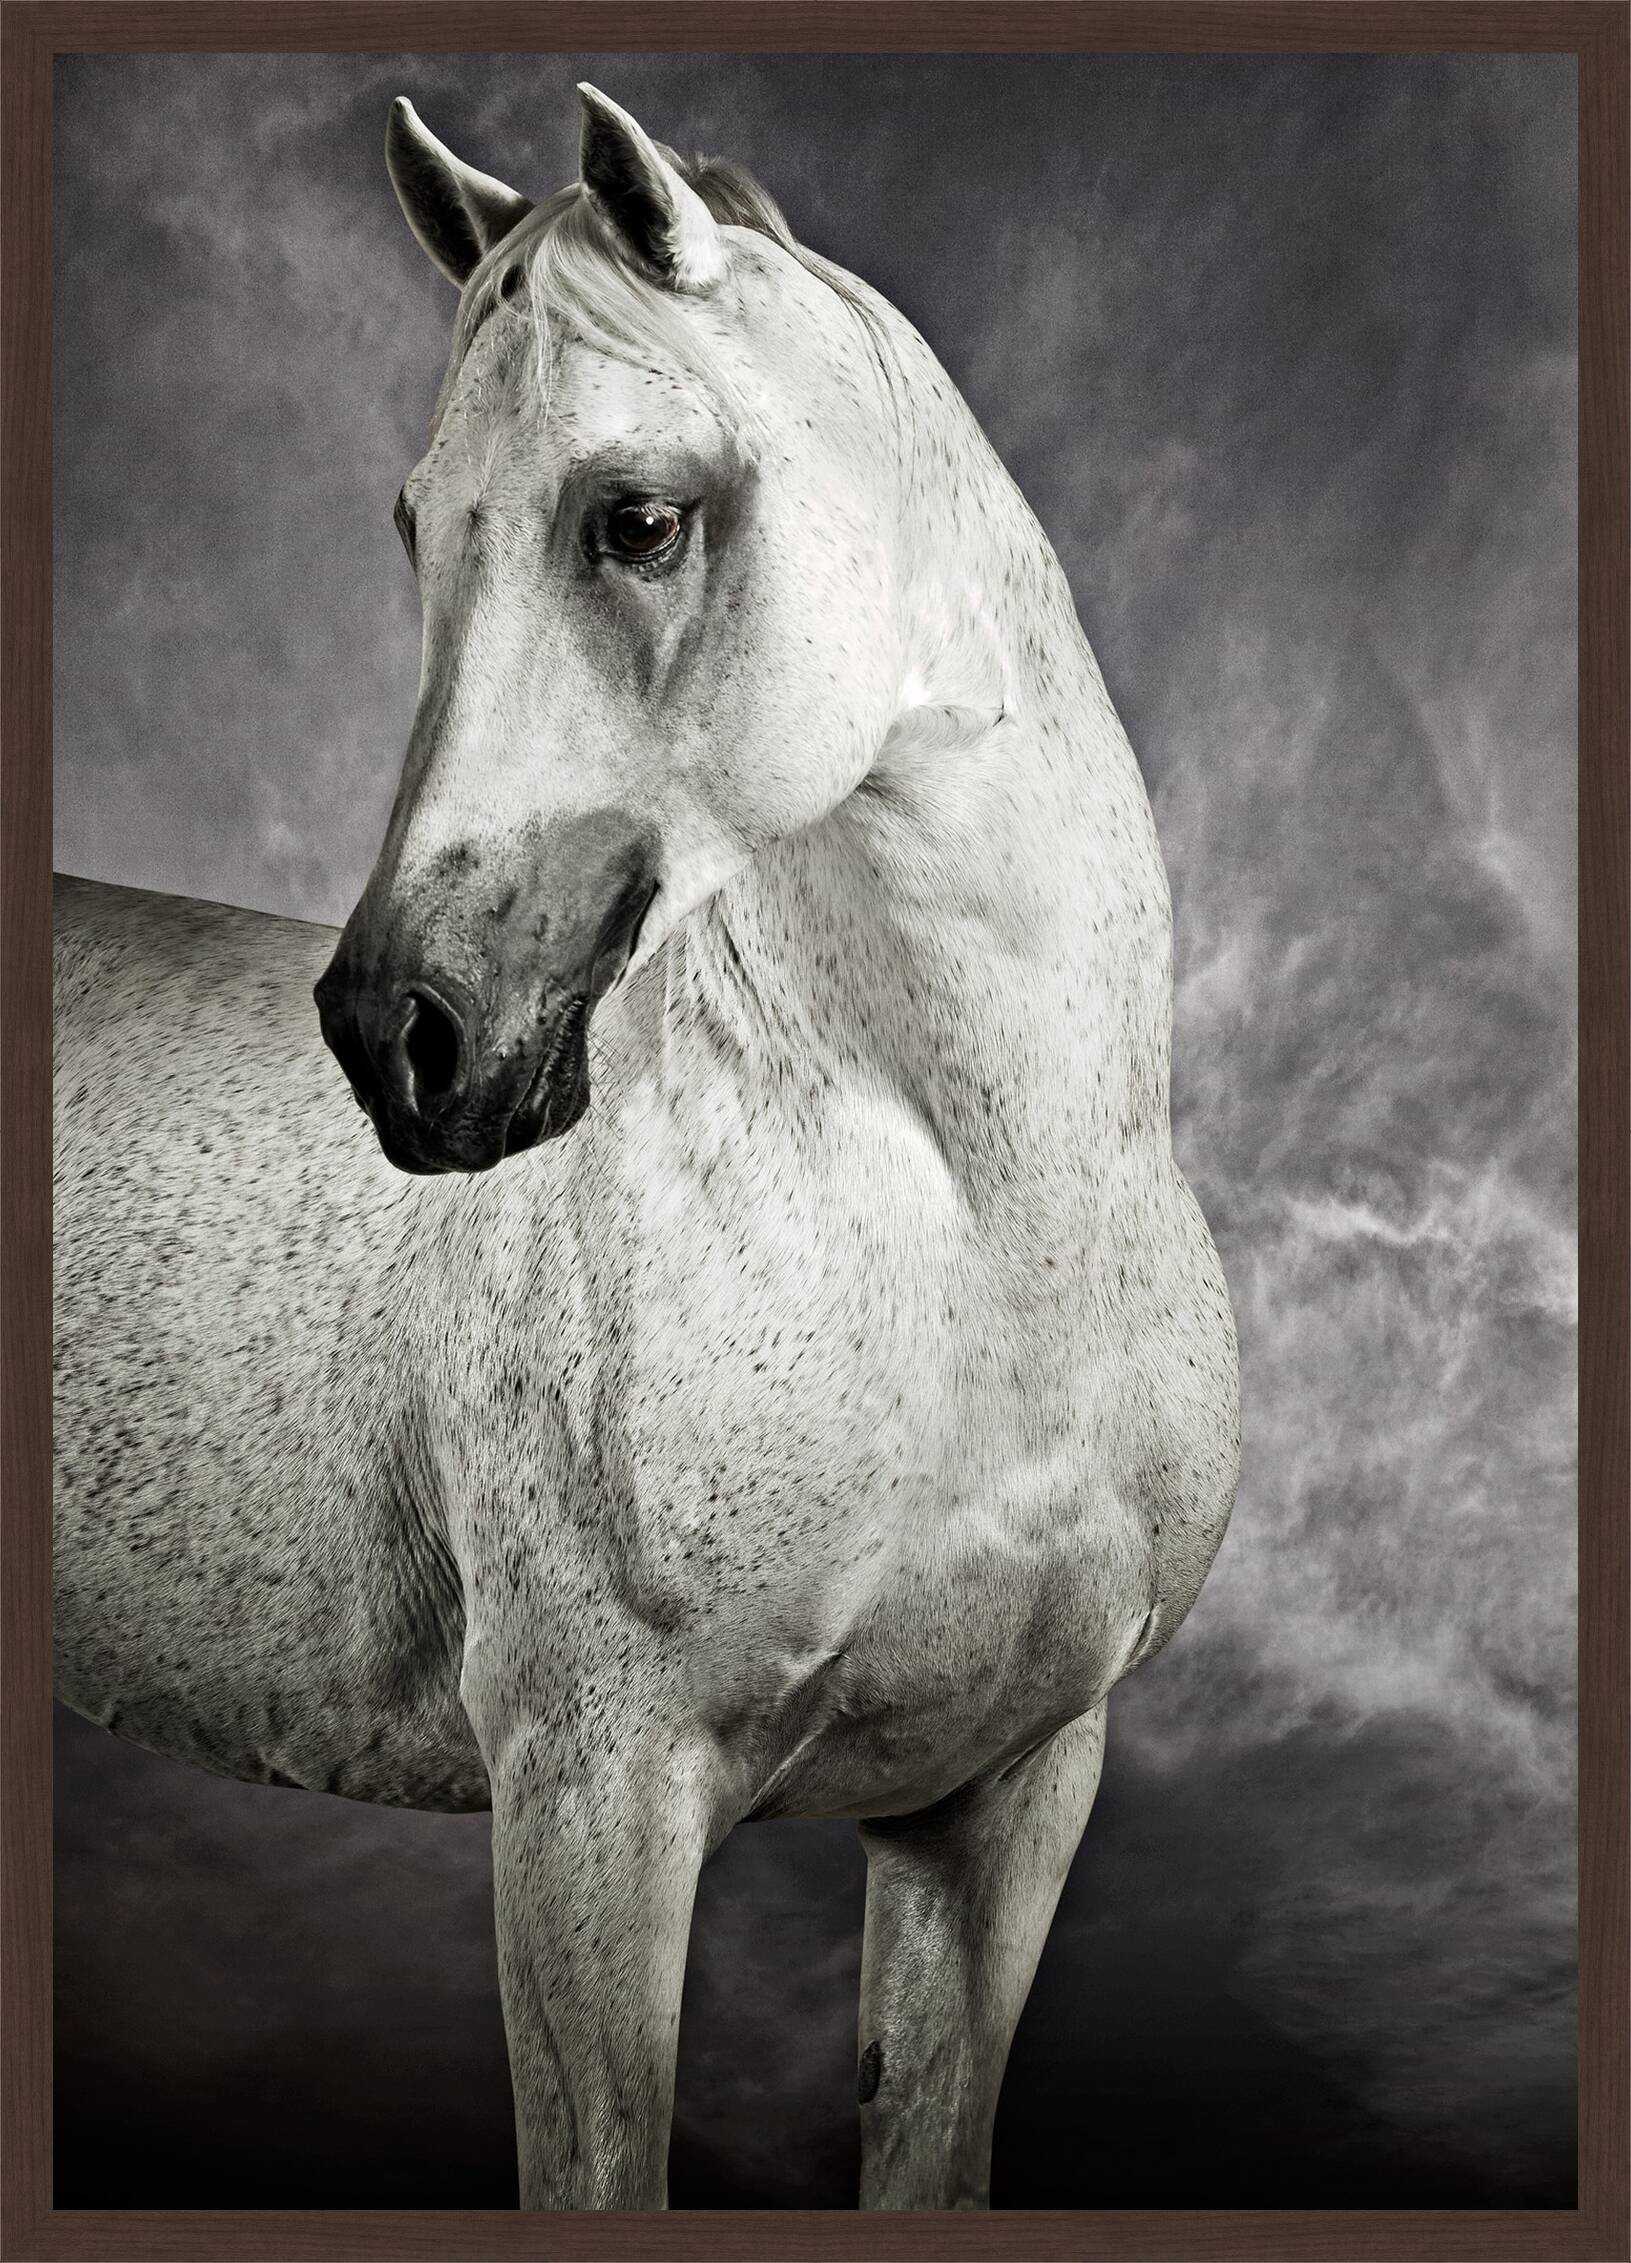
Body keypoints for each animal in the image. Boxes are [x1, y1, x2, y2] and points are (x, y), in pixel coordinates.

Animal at [52, 84, 1240, 2212]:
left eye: (638, 518)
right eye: (415, 525)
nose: (404, 1039)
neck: (979, 1225)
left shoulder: (1003, 1799)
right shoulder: (592, 1800)